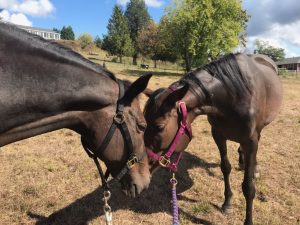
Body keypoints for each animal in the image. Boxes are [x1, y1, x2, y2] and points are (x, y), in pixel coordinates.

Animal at [144, 53, 282, 224]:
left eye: (159, 126)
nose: (142, 167)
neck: (232, 96)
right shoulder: (218, 135)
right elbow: (225, 167)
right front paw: (227, 203)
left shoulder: (250, 141)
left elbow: (248, 186)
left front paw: (248, 220)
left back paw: (254, 168)